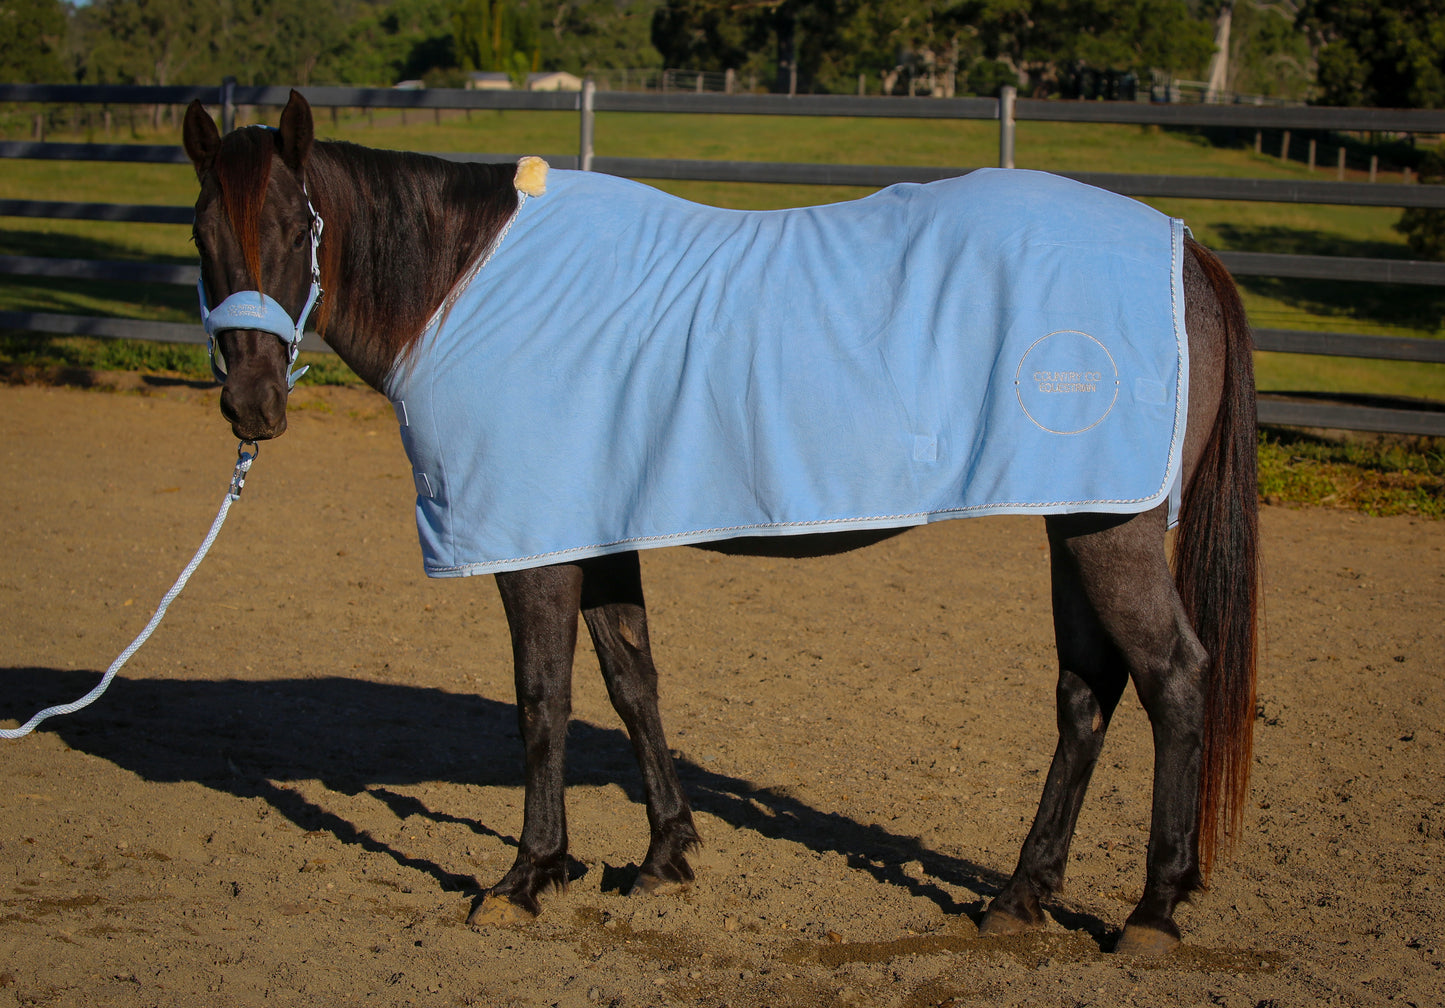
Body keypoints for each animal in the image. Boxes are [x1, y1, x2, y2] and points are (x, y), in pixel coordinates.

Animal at [180, 92, 1260, 947]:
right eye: (200, 237)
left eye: (296, 229)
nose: (252, 406)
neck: (467, 288)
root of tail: (1184, 250)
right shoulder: (594, 529)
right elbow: (630, 681)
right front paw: (663, 856)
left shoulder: (534, 546)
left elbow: (541, 701)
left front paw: (528, 875)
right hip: (1075, 516)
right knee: (1085, 693)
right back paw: (1018, 897)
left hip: (1109, 528)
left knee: (1171, 677)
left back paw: (1151, 908)